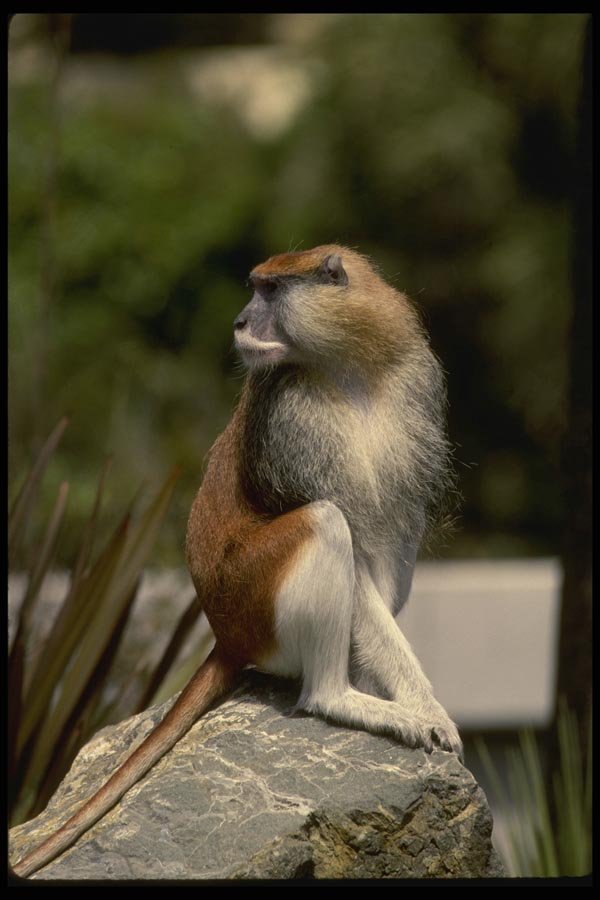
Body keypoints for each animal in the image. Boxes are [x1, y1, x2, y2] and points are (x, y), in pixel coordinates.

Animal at [12, 245, 462, 878]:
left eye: (269, 291)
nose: (241, 322)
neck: (349, 364)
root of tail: (225, 634)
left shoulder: (416, 387)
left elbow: (385, 545)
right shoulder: (291, 420)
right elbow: (348, 545)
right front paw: (424, 709)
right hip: (256, 594)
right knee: (324, 523)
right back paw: (338, 697)